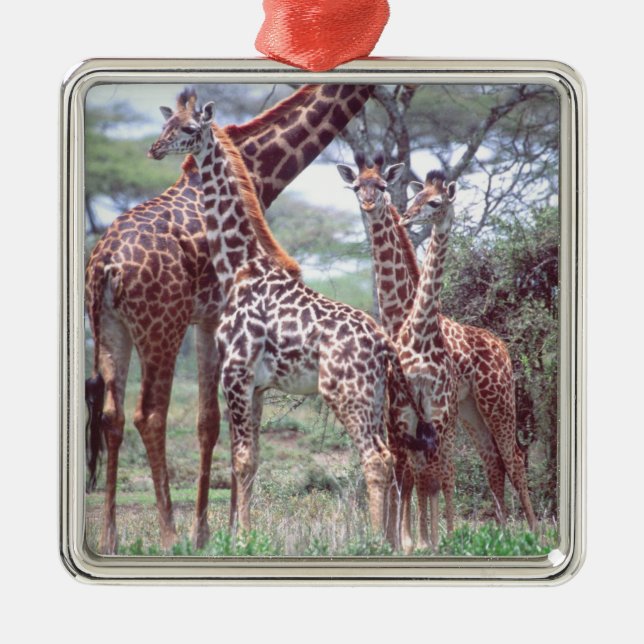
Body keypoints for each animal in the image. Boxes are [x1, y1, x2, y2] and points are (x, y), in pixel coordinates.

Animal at [85, 84, 373, 554]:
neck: (259, 169)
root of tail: (106, 265)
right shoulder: (215, 319)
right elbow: (222, 425)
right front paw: (224, 530)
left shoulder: (209, 322)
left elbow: (209, 423)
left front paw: (212, 530)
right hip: (161, 327)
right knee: (150, 414)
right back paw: (168, 535)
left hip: (109, 328)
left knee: (113, 415)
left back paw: (109, 537)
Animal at [147, 89, 436, 538]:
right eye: (166, 124)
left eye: (189, 128)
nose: (156, 148)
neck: (240, 266)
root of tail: (383, 344)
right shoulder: (258, 386)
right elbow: (251, 461)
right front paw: (242, 533)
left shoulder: (236, 374)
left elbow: (241, 459)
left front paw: (242, 538)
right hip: (375, 397)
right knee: (391, 456)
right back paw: (388, 540)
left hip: (346, 393)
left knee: (376, 458)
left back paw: (374, 540)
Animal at [337, 153, 537, 547]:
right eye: (355, 186)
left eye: (380, 185)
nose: (370, 204)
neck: (402, 316)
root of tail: (502, 347)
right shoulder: (398, 411)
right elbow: (407, 474)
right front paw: (400, 540)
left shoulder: (432, 412)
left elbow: (431, 475)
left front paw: (423, 540)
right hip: (470, 410)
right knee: (492, 461)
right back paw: (502, 532)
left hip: (497, 401)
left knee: (512, 457)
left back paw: (534, 532)